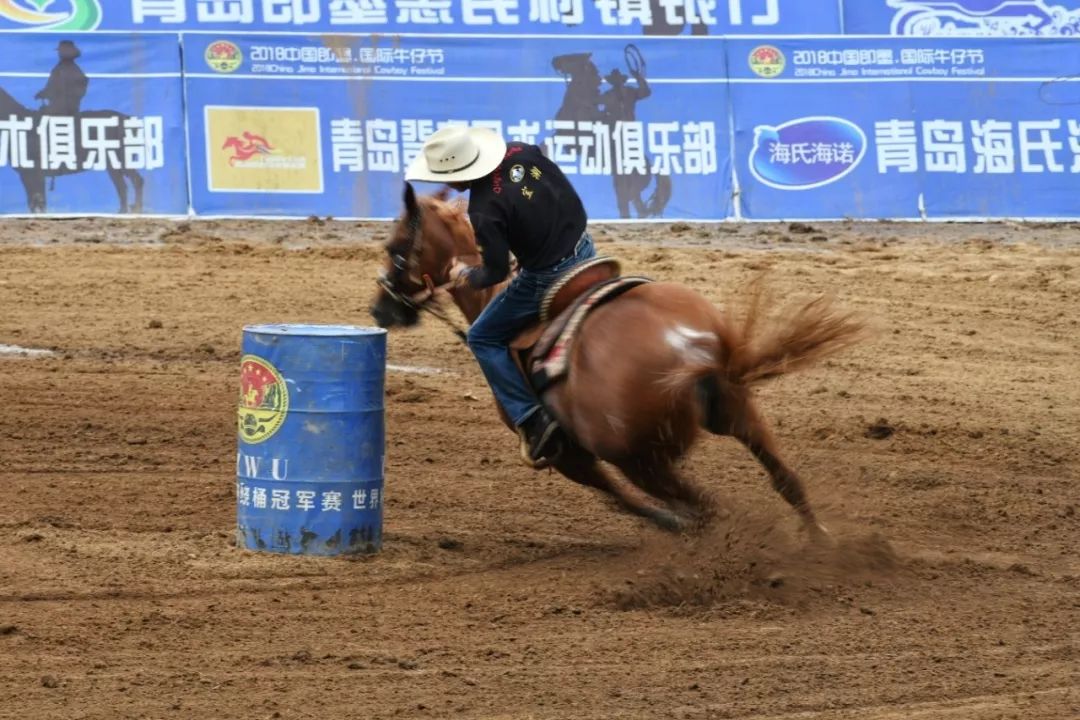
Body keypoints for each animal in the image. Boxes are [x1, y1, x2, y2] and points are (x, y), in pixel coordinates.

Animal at [0, 85, 144, 212]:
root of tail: (129, 119)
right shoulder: (27, 174)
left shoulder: (33, 172)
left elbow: (38, 201)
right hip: (113, 165)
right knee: (122, 187)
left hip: (121, 160)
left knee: (136, 181)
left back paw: (136, 210)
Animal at [375, 183, 864, 537]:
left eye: (395, 248)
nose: (380, 310)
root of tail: (687, 348)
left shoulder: (567, 455)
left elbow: (617, 497)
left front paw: (671, 523)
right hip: (739, 412)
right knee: (785, 479)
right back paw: (819, 540)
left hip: (641, 459)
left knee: (709, 506)